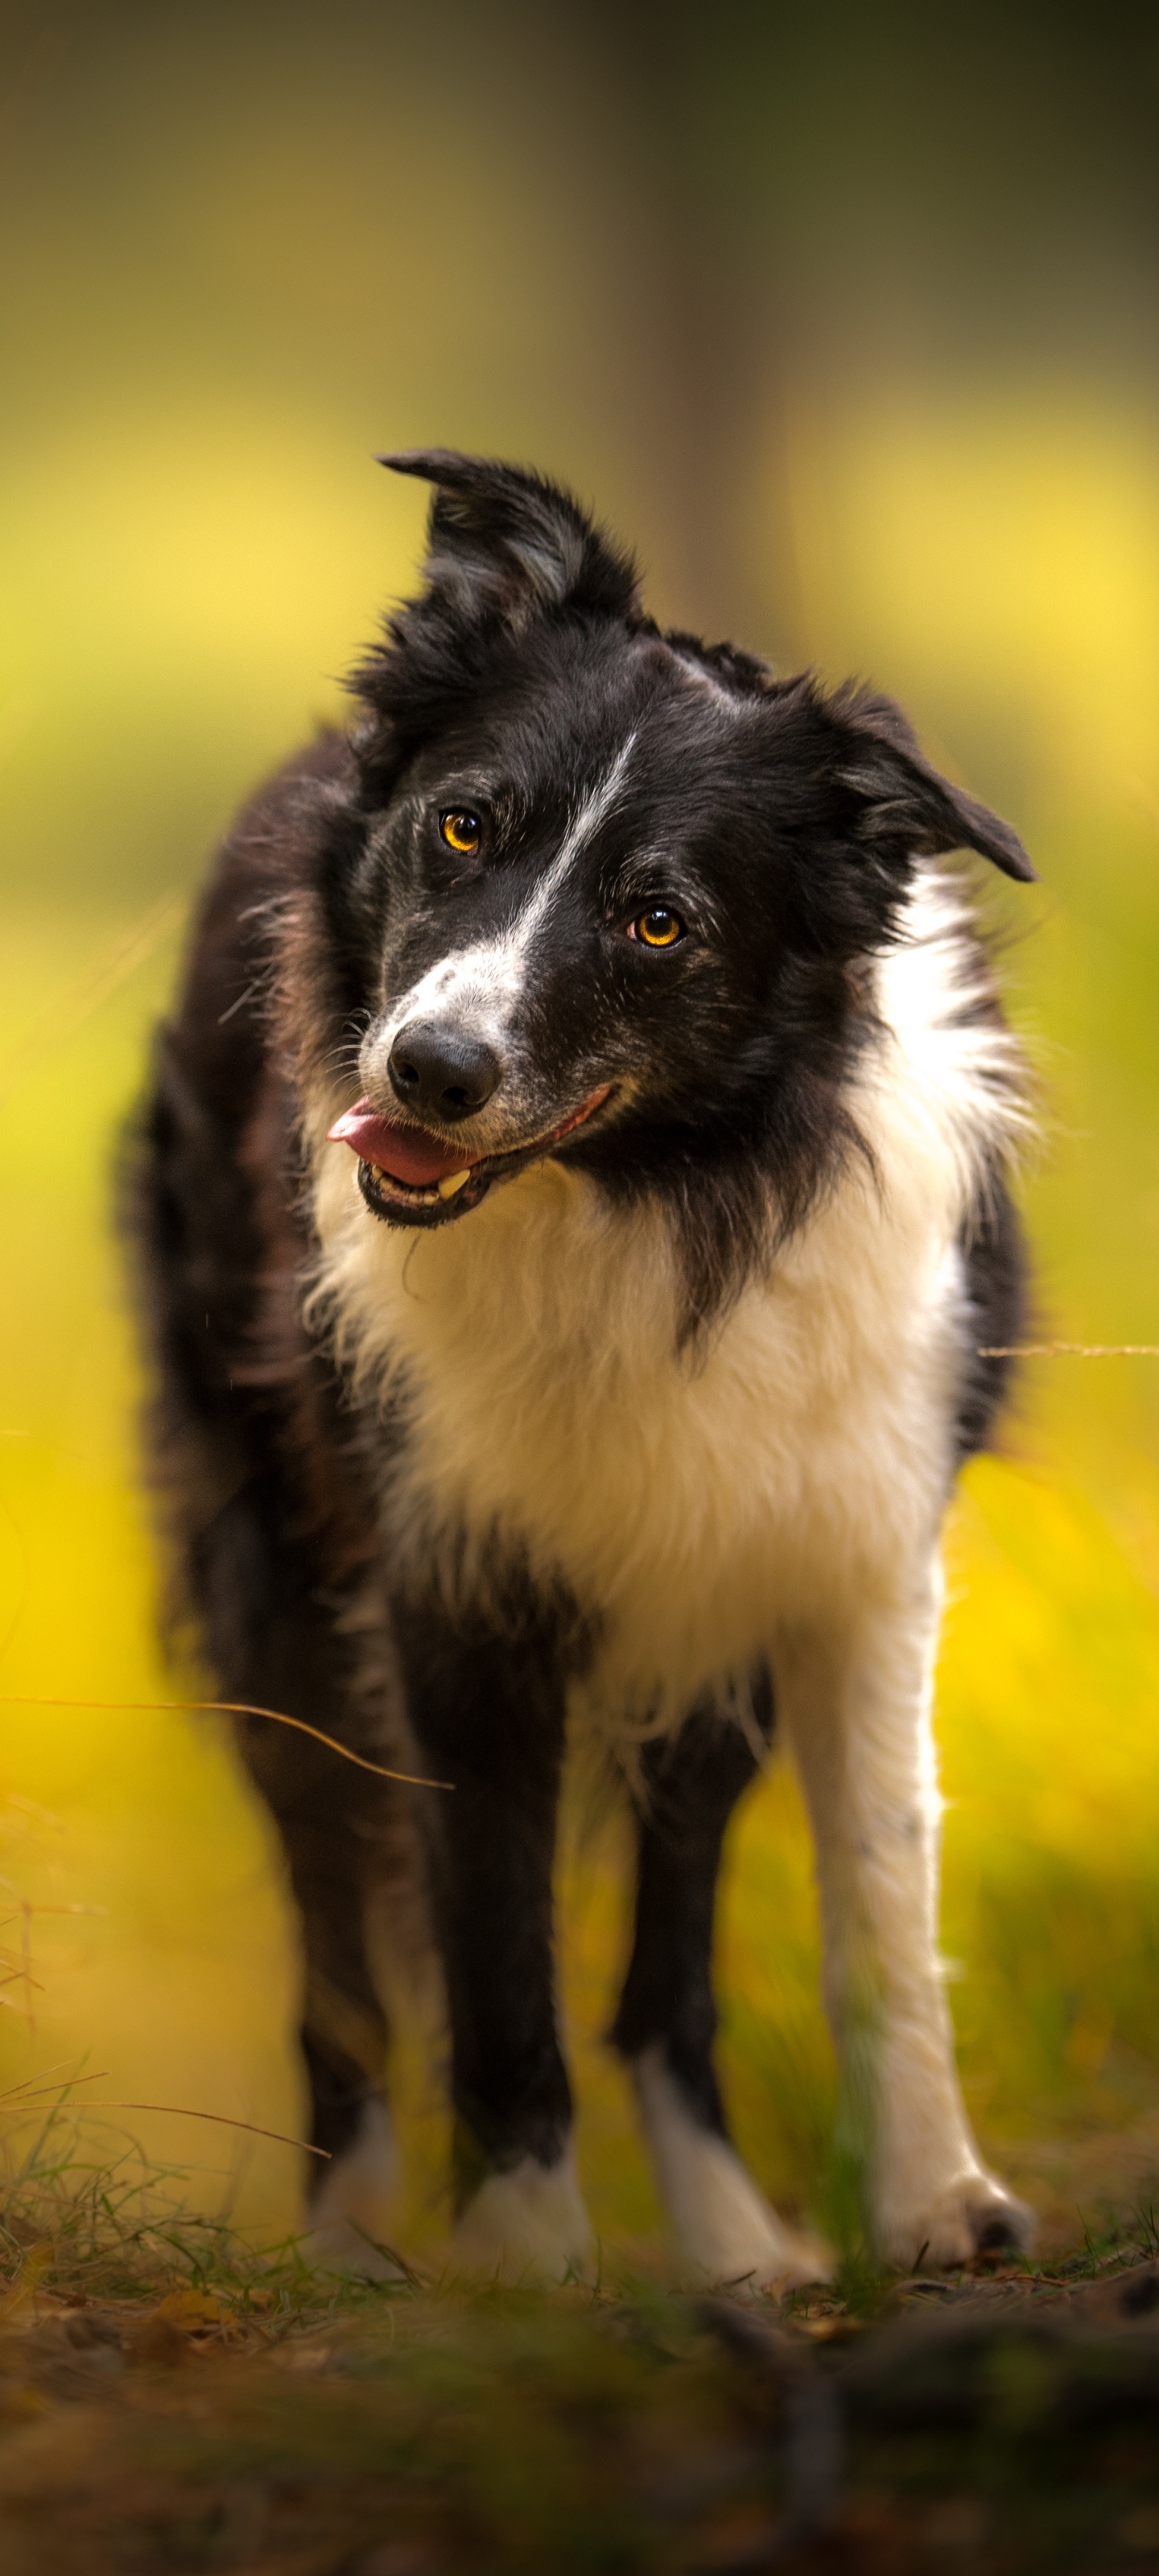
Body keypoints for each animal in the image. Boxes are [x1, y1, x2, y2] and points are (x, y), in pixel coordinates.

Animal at [124, 453, 1030, 2287]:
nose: (429, 1069)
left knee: (665, 1972)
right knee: (341, 1959)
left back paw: (738, 2244)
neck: (650, 1198)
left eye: (659, 920)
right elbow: (491, 1956)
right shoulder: (451, 1583)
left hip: (705, 1627)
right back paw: (352, 2245)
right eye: (467, 824)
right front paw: (532, 2271)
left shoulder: (849, 1553)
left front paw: (928, 2202)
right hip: (274, 1585)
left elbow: (879, 1905)